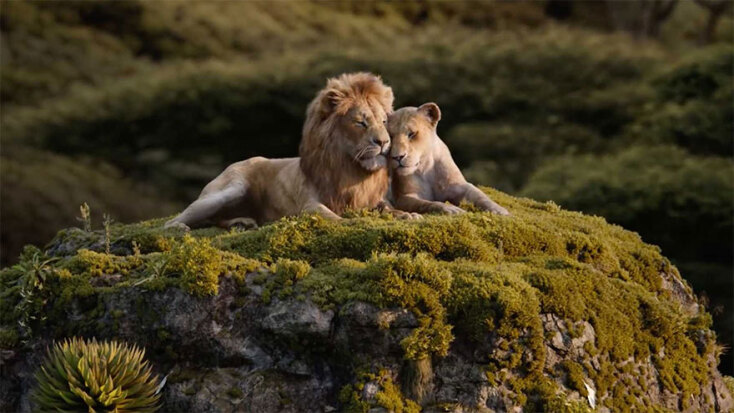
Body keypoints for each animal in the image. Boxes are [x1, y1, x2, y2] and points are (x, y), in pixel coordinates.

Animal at [164, 72, 417, 231]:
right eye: (360, 123)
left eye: (384, 121)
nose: (384, 142)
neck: (350, 168)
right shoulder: (308, 205)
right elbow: (331, 216)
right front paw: (351, 222)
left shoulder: (371, 199)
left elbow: (388, 208)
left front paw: (407, 215)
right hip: (231, 188)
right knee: (183, 218)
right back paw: (178, 227)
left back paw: (242, 222)